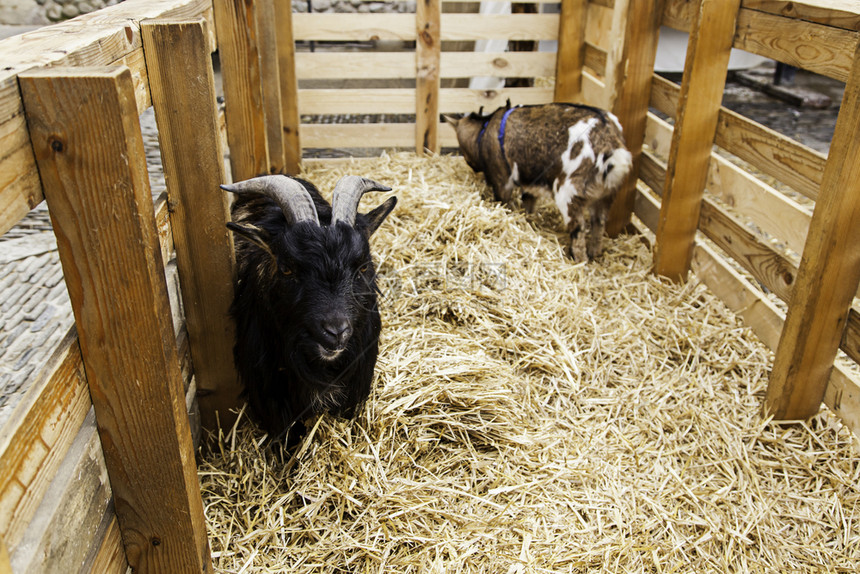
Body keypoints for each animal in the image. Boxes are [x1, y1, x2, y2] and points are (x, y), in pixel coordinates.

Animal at [446, 103, 636, 264]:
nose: (471, 165)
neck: (484, 132)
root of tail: (611, 145)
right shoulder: (532, 183)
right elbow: (528, 202)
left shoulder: (502, 180)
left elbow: (504, 202)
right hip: (606, 194)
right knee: (599, 221)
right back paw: (594, 252)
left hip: (569, 192)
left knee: (578, 228)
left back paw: (579, 260)